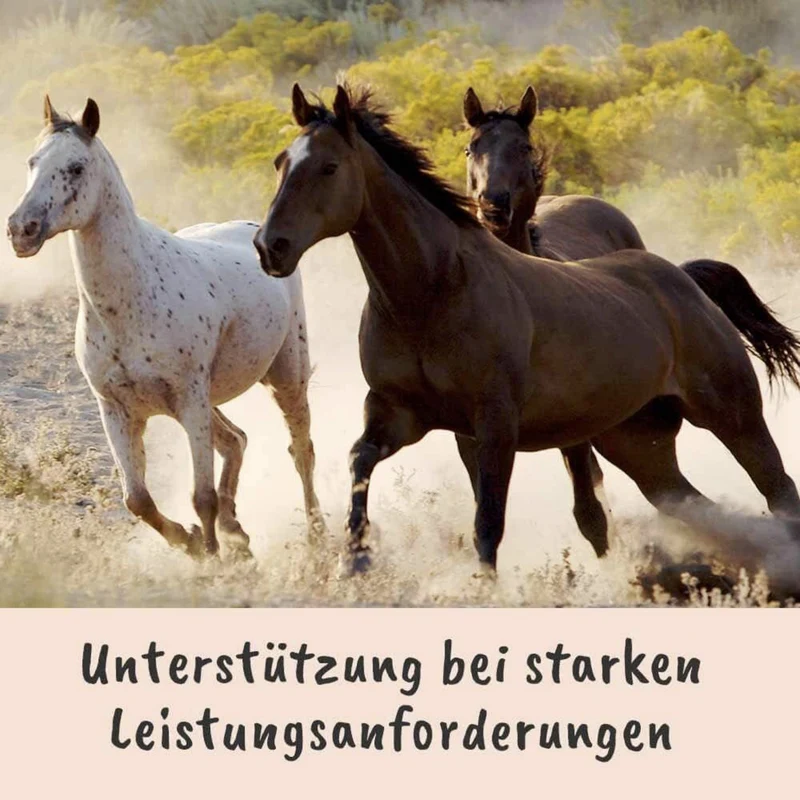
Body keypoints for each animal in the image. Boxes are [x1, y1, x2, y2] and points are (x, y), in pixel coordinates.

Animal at [6, 96, 325, 560]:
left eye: (76, 167)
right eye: (33, 161)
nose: (20, 230)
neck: (132, 303)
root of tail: (257, 232)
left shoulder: (190, 401)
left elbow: (201, 496)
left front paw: (211, 558)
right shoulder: (116, 411)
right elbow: (137, 500)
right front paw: (193, 543)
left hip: (284, 376)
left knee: (300, 451)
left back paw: (317, 537)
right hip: (207, 402)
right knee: (236, 440)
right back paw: (237, 533)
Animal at [254, 83, 800, 578]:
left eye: (329, 167)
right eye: (282, 162)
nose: (269, 247)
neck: (432, 293)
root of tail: (683, 279)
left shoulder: (495, 426)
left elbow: (489, 523)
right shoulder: (402, 414)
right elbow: (360, 463)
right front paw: (354, 561)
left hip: (733, 416)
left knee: (779, 492)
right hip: (639, 445)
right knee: (699, 507)